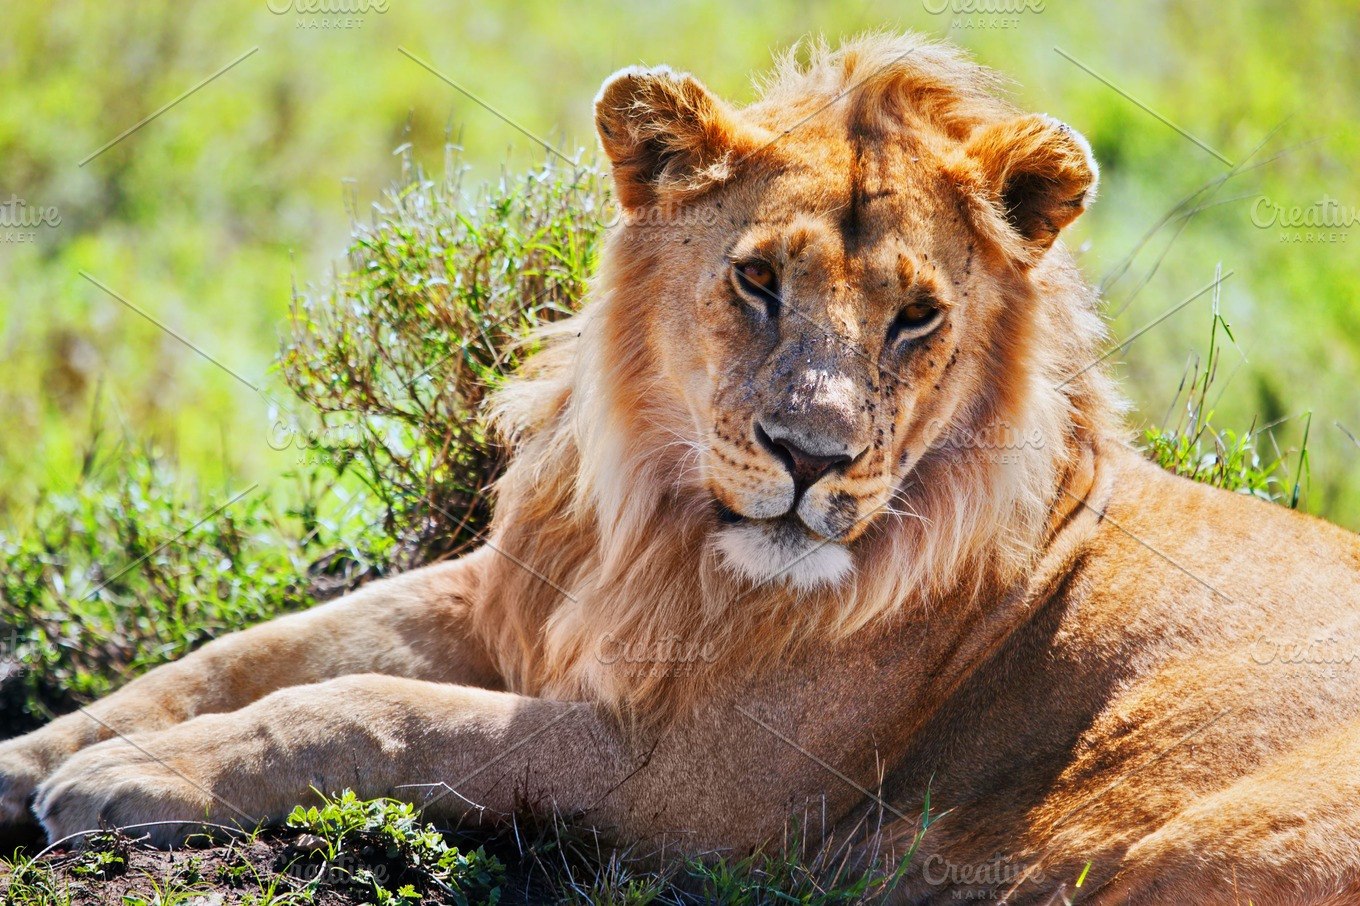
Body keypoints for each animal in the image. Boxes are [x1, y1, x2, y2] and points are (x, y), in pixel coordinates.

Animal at [2, 31, 1360, 897]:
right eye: (757, 280)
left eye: (916, 317)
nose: (811, 457)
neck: (661, 533)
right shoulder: (507, 596)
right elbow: (244, 656)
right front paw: (39, 755)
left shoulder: (692, 790)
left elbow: (377, 710)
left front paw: (129, 775)